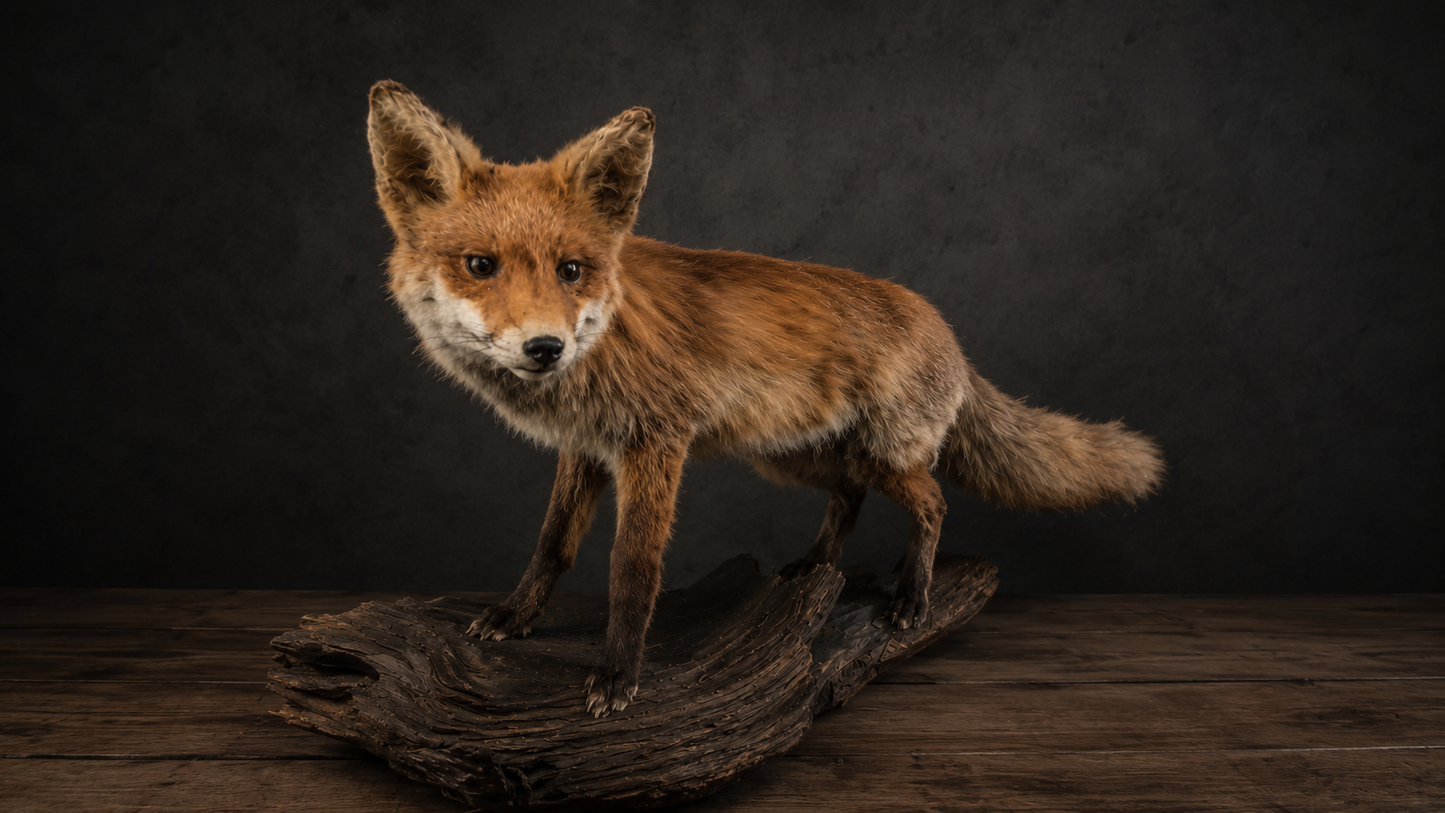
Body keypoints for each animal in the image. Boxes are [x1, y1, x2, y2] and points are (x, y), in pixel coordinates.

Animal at [365, 80, 1164, 717]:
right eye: (480, 265)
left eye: (570, 270)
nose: (544, 348)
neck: (595, 356)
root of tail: (945, 330)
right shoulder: (585, 449)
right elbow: (552, 544)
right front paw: (514, 615)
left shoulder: (655, 443)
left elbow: (633, 568)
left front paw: (618, 675)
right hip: (793, 457)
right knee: (847, 495)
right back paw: (816, 567)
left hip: (883, 455)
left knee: (933, 502)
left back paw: (913, 595)